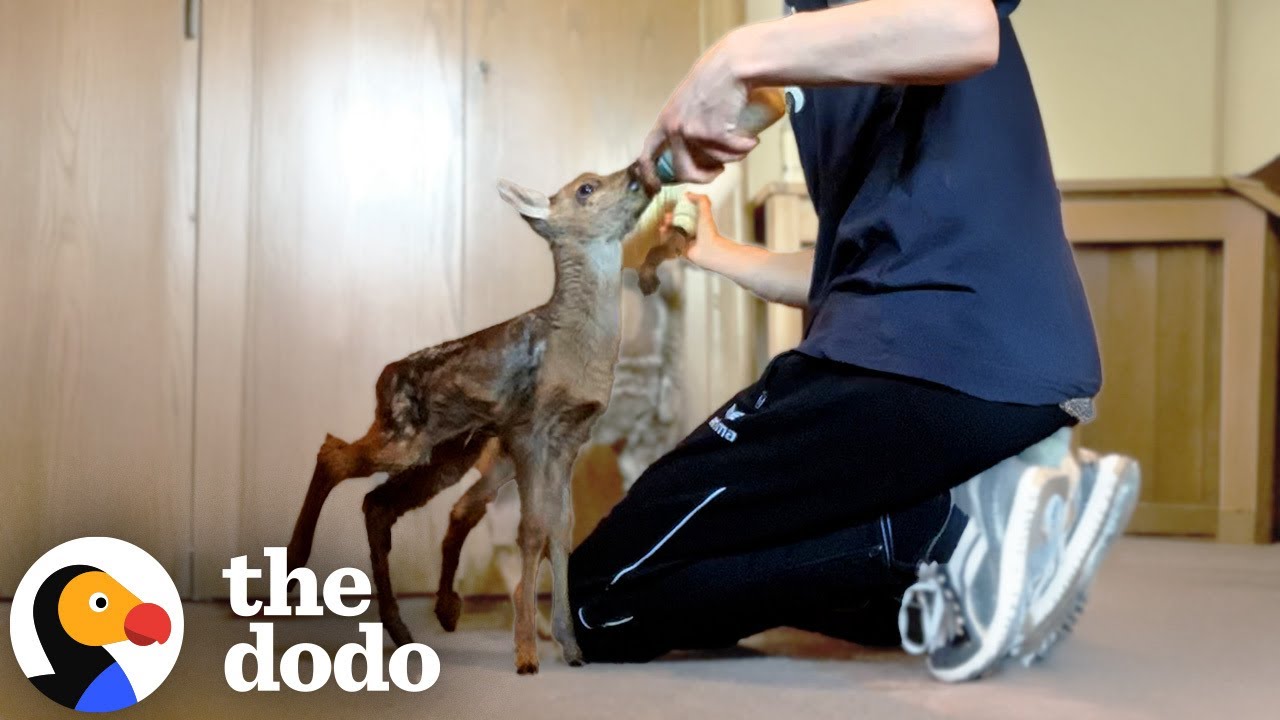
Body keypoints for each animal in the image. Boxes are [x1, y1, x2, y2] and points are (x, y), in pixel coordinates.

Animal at [283, 163, 658, 674]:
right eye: (586, 187)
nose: (640, 169)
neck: (574, 348)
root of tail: (383, 378)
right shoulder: (528, 430)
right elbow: (533, 530)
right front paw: (526, 653)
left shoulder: (570, 441)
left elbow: (561, 530)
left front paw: (571, 646)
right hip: (405, 437)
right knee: (333, 453)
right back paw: (294, 572)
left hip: (446, 455)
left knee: (378, 503)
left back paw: (409, 626)